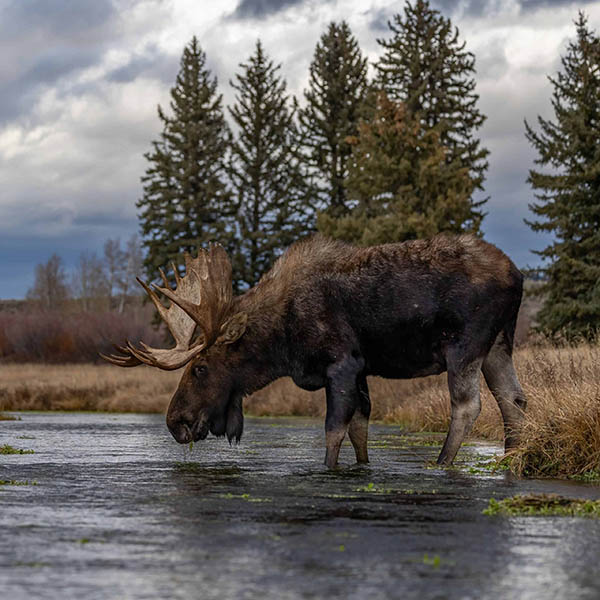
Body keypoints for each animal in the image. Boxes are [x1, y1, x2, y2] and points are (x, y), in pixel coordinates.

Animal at [102, 234, 524, 468]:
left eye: (200, 368)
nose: (175, 421)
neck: (280, 342)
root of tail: (518, 275)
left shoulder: (342, 363)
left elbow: (334, 430)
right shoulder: (362, 370)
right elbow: (359, 429)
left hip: (463, 344)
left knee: (468, 405)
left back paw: (440, 463)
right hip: (499, 345)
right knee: (513, 399)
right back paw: (512, 456)